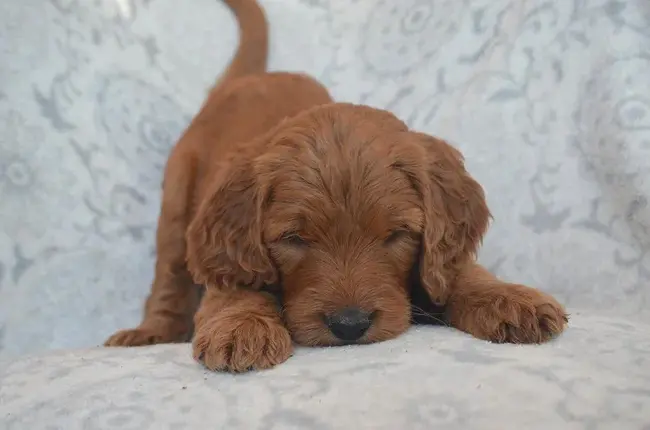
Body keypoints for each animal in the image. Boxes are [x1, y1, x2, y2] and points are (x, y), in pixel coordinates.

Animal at [104, 0, 564, 372]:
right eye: (294, 239)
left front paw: (510, 299)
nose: (349, 325)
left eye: (397, 235)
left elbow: (458, 271)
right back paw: (149, 333)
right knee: (169, 276)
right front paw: (242, 327)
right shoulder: (229, 254)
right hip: (178, 195)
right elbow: (236, 288)